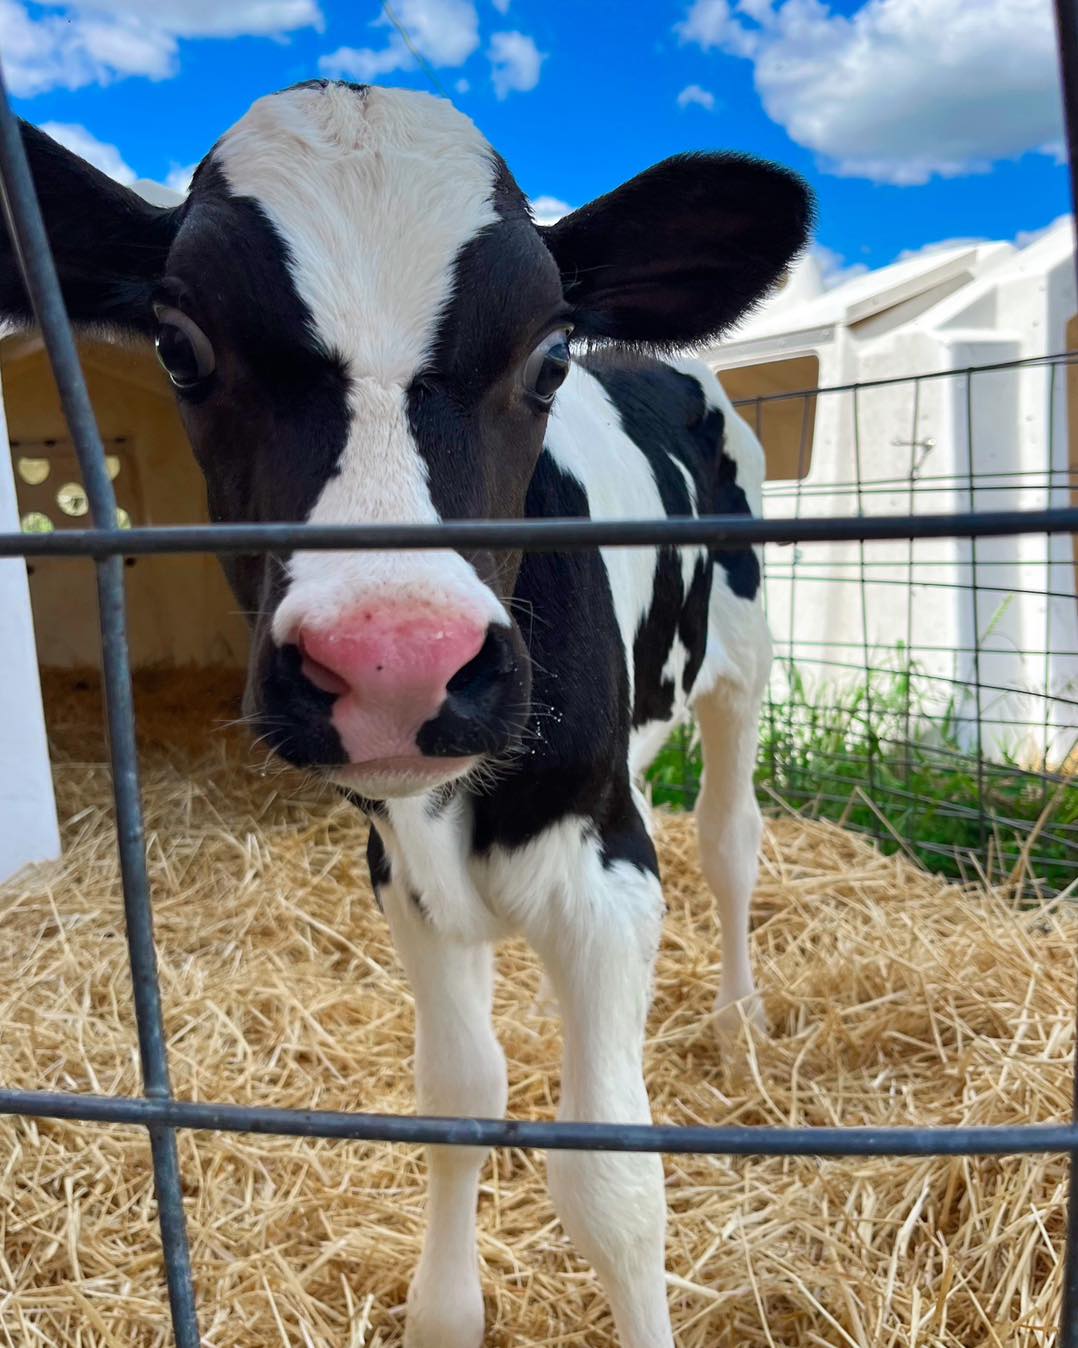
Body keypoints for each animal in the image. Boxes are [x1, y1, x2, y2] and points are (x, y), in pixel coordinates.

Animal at [0, 82, 811, 1347]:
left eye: (548, 354)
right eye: (181, 346)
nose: (393, 662)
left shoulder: (606, 874)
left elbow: (614, 1185)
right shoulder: (406, 876)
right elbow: (456, 1099)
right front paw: (445, 1308)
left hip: (743, 659)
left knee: (731, 844)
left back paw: (737, 1024)